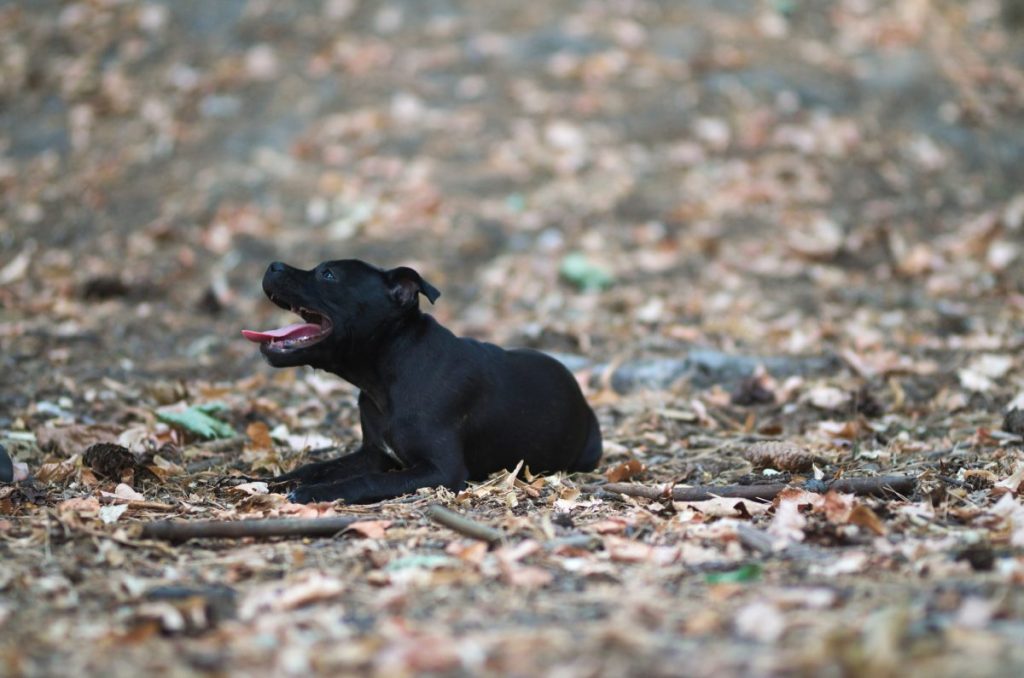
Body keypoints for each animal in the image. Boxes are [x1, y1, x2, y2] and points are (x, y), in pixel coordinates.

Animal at [243, 260, 602, 503]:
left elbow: (367, 482)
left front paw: (313, 494)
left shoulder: (441, 470)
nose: (273, 265)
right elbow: (318, 467)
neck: (386, 374)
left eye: (328, 275)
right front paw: (275, 481)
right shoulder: (374, 454)